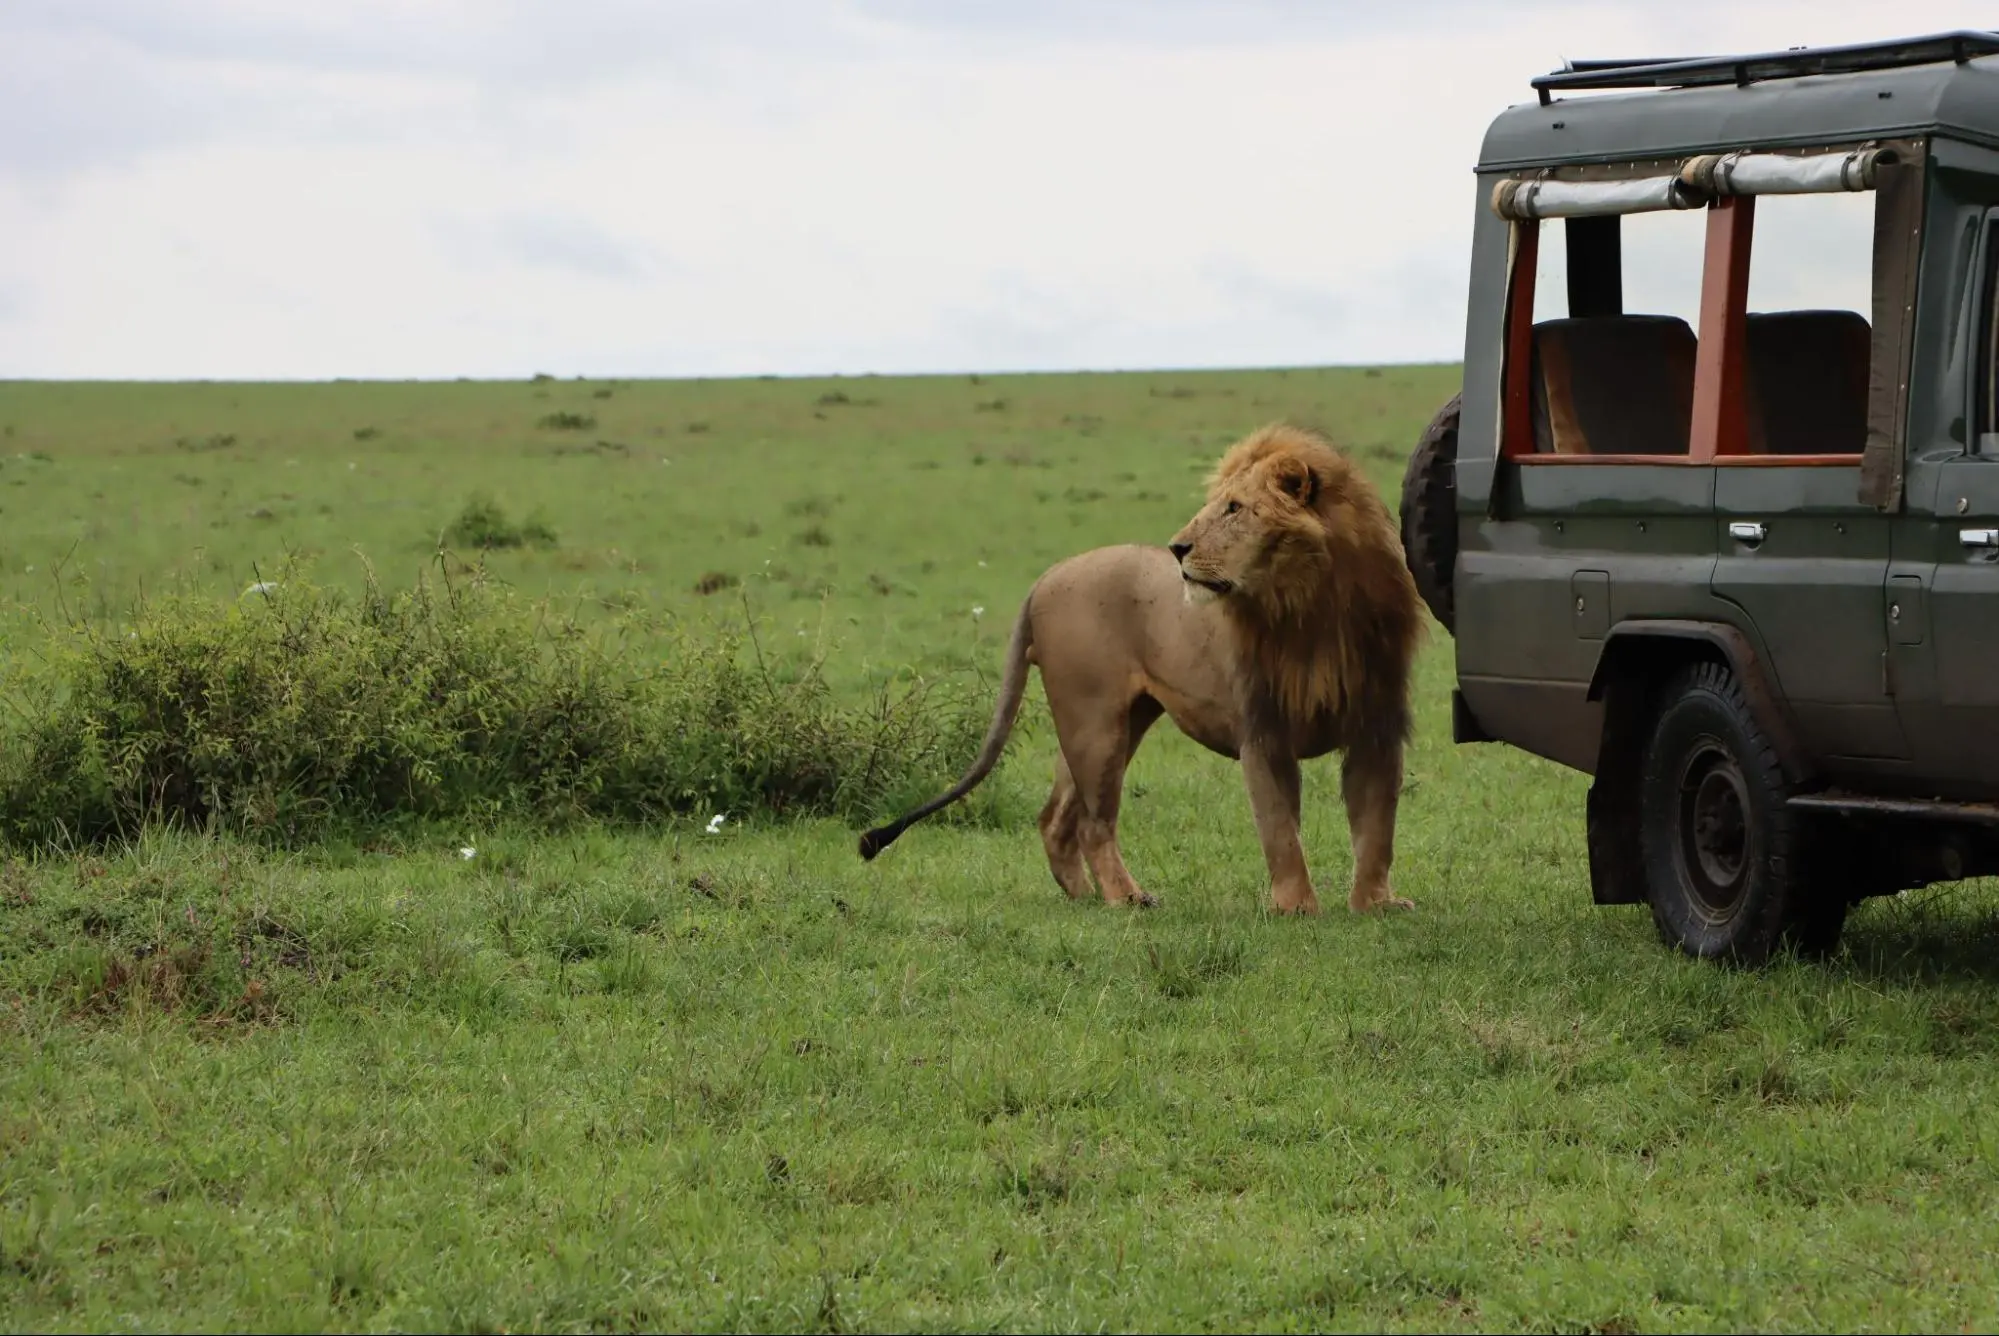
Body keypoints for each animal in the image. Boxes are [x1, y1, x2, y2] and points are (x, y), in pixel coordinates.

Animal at [859, 422, 1423, 912]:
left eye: (1235, 509)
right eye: (1216, 504)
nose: (1177, 548)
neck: (1312, 609)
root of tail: (1044, 578)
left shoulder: (1377, 726)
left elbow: (1378, 825)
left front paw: (1376, 904)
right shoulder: (1262, 730)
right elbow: (1281, 830)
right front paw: (1297, 907)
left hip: (1113, 723)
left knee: (1056, 818)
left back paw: (1083, 896)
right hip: (1094, 723)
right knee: (1092, 823)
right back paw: (1126, 898)